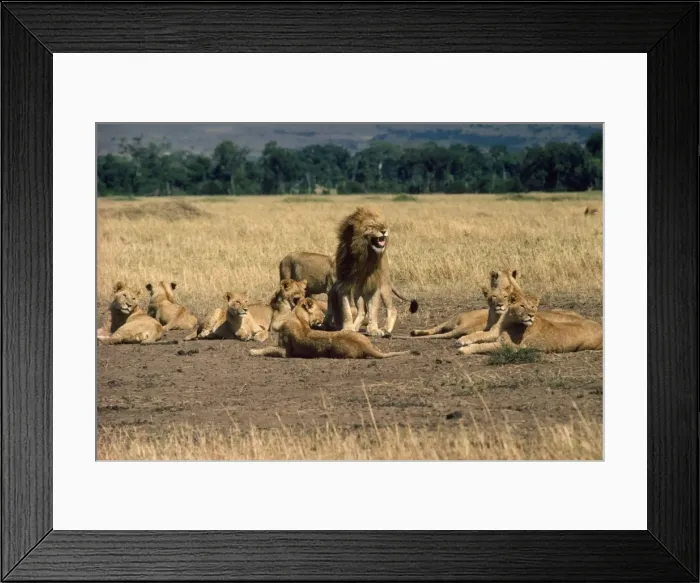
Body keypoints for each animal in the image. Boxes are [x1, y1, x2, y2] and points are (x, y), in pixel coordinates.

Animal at [250, 298, 414, 359]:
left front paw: (253, 351)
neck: (298, 318)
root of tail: (364, 345)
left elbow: (268, 348)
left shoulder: (285, 351)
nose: (324, 321)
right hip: (349, 331)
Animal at [322, 206, 418, 338]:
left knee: (392, 309)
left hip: (384, 286)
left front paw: (373, 329)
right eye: (371, 225)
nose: (384, 230)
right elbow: (346, 310)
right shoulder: (344, 284)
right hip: (357, 292)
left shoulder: (374, 285)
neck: (365, 254)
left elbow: (373, 310)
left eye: (383, 223)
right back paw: (355, 327)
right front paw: (348, 329)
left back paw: (386, 329)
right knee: (362, 311)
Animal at [457, 291, 602, 355]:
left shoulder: (511, 347)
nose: (531, 315)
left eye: (533, 307)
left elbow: (484, 346)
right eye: (522, 306)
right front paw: (463, 341)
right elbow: (478, 335)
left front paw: (464, 349)